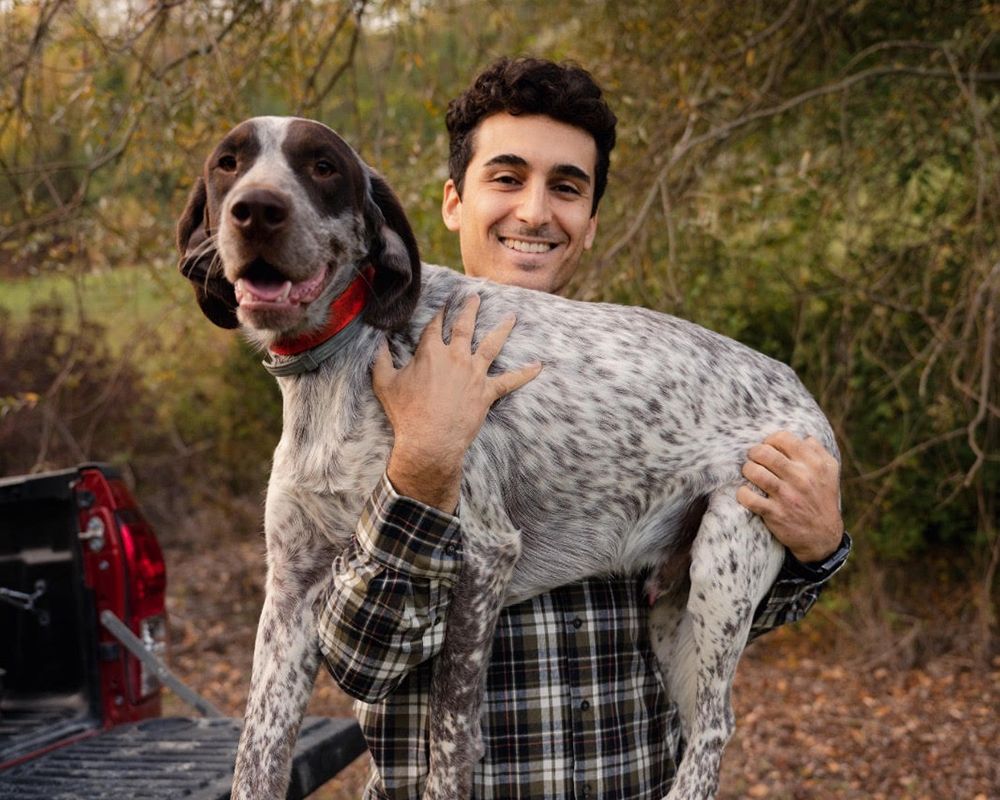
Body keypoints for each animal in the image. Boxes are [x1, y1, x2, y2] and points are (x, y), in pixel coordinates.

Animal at [176, 114, 840, 800]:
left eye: (323, 166)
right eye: (228, 163)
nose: (256, 210)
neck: (340, 359)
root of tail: (802, 395)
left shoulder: (483, 553)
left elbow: (448, 734)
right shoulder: (291, 590)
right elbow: (257, 753)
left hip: (725, 566)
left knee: (712, 728)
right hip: (670, 614)